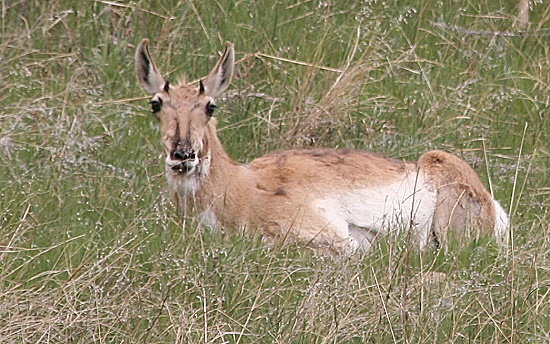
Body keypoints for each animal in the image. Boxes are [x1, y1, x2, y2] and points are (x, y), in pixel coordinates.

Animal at [136, 39, 512, 254]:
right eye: (156, 104)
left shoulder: (332, 239)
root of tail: (496, 211)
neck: (237, 184)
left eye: (210, 106)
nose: (183, 155)